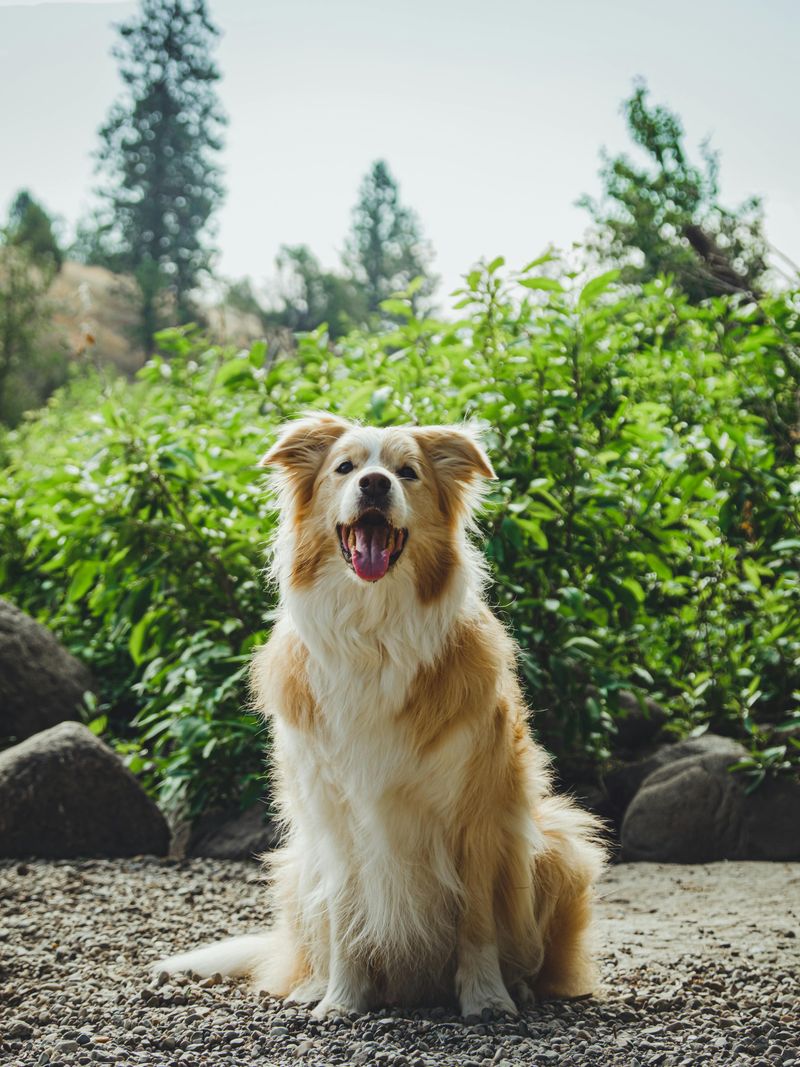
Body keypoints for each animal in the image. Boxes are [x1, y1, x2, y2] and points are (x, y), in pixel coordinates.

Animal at [156, 409, 605, 1015]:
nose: (374, 484)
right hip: (299, 865)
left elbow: (477, 923)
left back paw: (521, 987)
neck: (374, 633)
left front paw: (487, 1000)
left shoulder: (478, 812)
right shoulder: (335, 814)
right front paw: (342, 1001)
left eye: (407, 472)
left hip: (557, 842)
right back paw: (313, 986)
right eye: (345, 467)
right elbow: (347, 915)